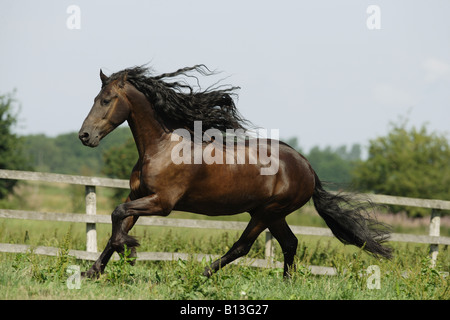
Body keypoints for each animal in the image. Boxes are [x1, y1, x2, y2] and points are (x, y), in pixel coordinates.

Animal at [78, 64, 390, 278]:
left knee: (243, 245)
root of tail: (307, 166)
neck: (162, 147)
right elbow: (118, 220)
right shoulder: (137, 196)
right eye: (94, 98)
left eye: (106, 100)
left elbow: (117, 216)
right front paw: (94, 270)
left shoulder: (162, 203)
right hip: (272, 214)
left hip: (267, 212)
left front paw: (128, 250)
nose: (84, 136)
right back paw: (287, 282)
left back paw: (203, 273)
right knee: (290, 243)